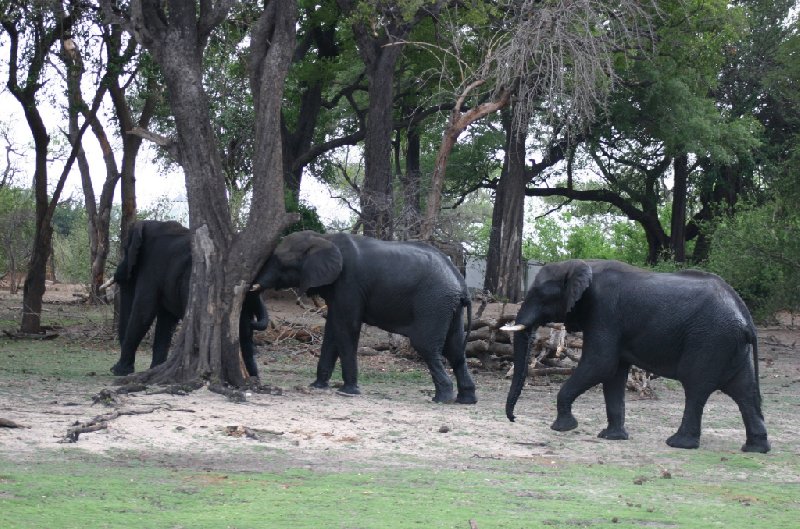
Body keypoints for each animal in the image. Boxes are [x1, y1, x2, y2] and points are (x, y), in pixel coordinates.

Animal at [106, 221, 270, 378]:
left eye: (125, 250)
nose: (114, 369)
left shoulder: (152, 267)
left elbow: (144, 311)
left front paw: (118, 371)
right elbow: (166, 320)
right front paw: (154, 369)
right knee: (244, 334)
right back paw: (252, 378)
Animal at [252, 229, 476, 402]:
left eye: (279, 261)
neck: (323, 238)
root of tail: (461, 285)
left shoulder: (348, 282)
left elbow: (346, 328)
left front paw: (348, 391)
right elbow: (332, 329)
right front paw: (317, 386)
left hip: (433, 304)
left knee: (427, 346)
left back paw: (441, 399)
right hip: (449, 307)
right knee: (455, 350)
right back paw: (465, 400)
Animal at [504, 258, 772, 452]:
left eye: (540, 294)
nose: (514, 418)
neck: (579, 264)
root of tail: (746, 318)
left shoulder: (604, 311)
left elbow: (600, 364)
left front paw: (562, 428)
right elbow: (614, 374)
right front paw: (611, 438)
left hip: (710, 340)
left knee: (696, 388)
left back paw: (678, 444)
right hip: (730, 346)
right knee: (745, 391)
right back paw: (755, 449)